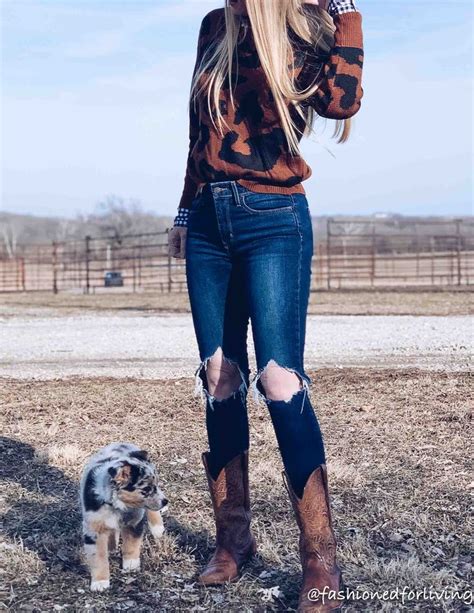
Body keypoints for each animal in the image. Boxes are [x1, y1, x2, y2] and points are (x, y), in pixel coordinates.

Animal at [78, 442, 167, 592]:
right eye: (146, 489)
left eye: (154, 486)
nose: (165, 501)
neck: (117, 505)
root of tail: (122, 443)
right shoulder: (93, 529)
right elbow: (98, 557)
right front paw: (100, 583)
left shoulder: (134, 522)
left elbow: (131, 544)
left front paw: (131, 565)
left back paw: (158, 528)